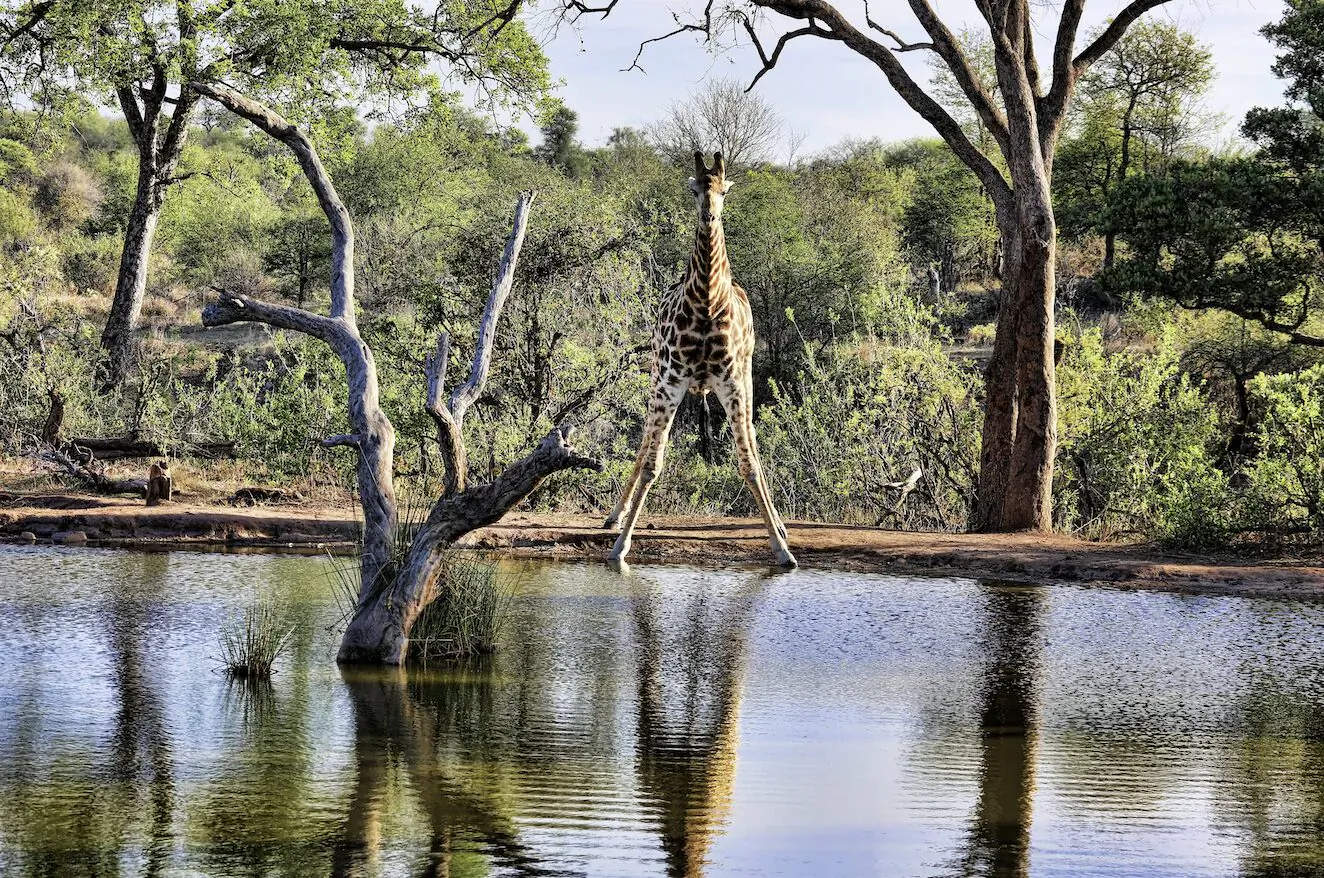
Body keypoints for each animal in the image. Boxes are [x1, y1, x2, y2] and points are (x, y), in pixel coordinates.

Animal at [605, 151, 797, 568]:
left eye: (724, 190)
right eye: (694, 189)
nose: (709, 216)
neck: (707, 302)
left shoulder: (732, 384)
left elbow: (749, 463)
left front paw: (781, 547)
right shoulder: (670, 381)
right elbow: (652, 464)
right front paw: (620, 546)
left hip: (747, 377)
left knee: (752, 440)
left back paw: (780, 522)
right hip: (656, 378)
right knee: (645, 439)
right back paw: (615, 515)